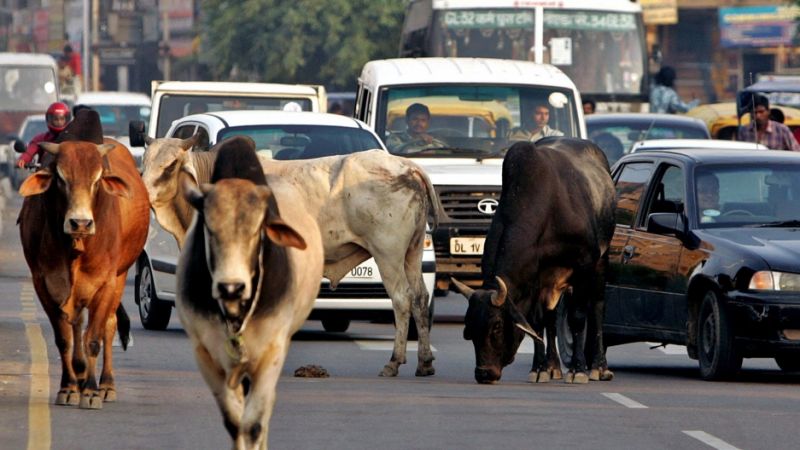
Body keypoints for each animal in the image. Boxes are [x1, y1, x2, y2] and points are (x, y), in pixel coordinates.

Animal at [18, 130, 149, 408]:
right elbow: (64, 339)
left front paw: (90, 391)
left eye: (97, 179)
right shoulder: (43, 283)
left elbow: (93, 339)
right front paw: (68, 387)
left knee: (108, 326)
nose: (80, 223)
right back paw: (78, 375)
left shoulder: (106, 283)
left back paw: (106, 385)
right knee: (77, 323)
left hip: (120, 277)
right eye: (60, 178)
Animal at [142, 135, 437, 377]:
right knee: (420, 298)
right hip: (412, 252)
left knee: (402, 299)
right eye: (144, 162)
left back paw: (394, 362)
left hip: (387, 253)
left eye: (170, 165)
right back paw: (424, 363)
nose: (144, 194)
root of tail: (406, 166)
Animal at [176, 139, 323, 449]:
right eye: (209, 228)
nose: (231, 287)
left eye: (257, 231)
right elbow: (235, 424)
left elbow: (254, 424)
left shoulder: (272, 353)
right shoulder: (206, 355)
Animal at [453, 138, 615, 385]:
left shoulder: (584, 264)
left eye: (497, 326)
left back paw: (599, 367)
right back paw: (553, 366)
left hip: (601, 262)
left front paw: (578, 370)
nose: (483, 373)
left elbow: (578, 317)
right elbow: (537, 322)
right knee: (550, 318)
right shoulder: (535, 277)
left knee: (596, 307)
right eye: (469, 327)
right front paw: (539, 368)